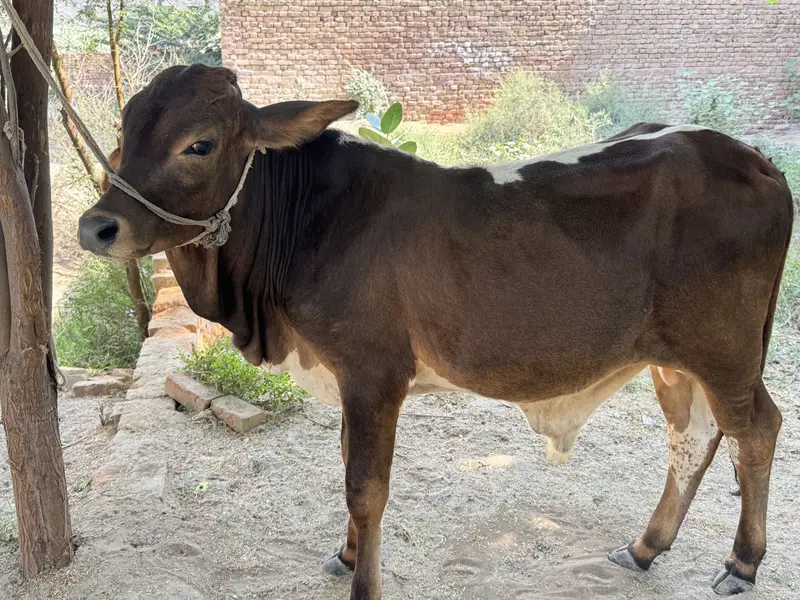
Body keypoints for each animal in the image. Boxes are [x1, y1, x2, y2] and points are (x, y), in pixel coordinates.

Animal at [78, 65, 794, 600]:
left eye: (198, 144)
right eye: (123, 129)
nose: (97, 226)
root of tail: (755, 158)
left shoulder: (374, 372)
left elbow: (365, 487)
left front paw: (363, 583)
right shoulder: (349, 377)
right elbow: (347, 460)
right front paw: (346, 554)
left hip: (725, 351)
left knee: (755, 429)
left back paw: (741, 563)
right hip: (672, 358)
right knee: (693, 435)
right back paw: (646, 547)